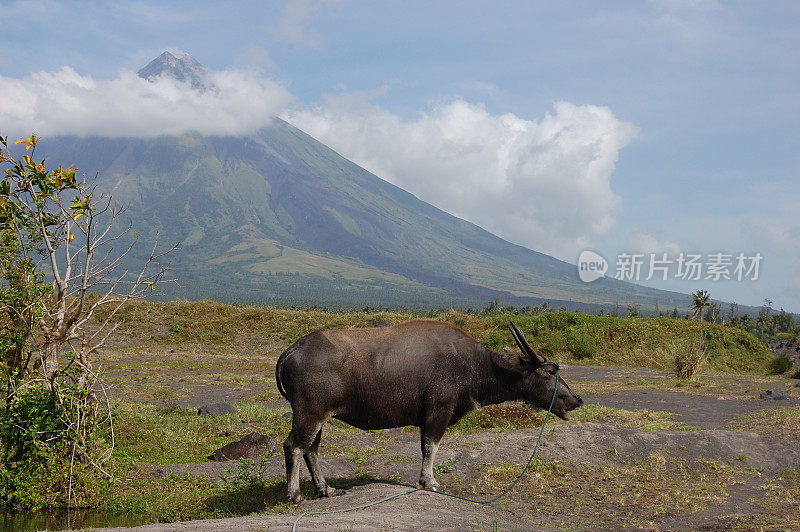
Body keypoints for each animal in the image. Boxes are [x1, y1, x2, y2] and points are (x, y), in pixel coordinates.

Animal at [276, 320, 580, 502]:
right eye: (551, 372)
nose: (576, 400)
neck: (472, 365)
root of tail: (294, 348)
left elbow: (425, 447)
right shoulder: (438, 413)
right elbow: (430, 447)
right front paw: (430, 481)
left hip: (319, 417)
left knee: (311, 450)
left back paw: (326, 489)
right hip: (309, 414)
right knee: (293, 446)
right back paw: (295, 494)